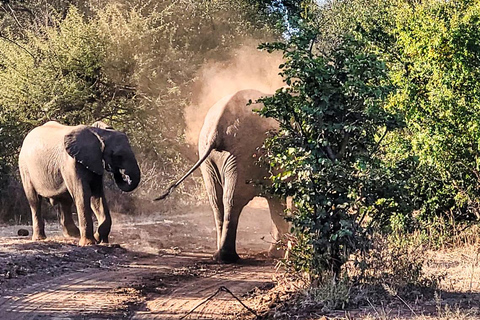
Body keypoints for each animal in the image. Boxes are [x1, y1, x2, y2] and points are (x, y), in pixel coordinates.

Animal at [157, 89, 288, 262]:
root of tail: (217, 128)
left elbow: (277, 200)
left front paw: (277, 254)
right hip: (243, 153)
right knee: (233, 199)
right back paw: (228, 257)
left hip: (209, 154)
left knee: (216, 199)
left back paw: (219, 256)